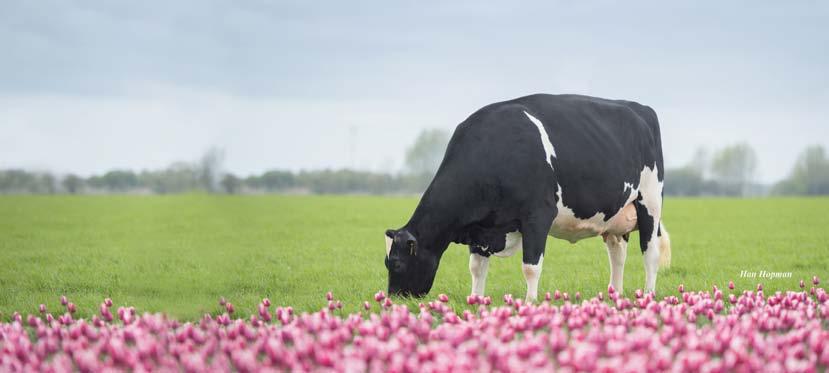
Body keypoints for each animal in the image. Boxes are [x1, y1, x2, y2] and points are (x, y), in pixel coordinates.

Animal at [384, 94, 668, 300]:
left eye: (396, 264)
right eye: (387, 263)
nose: (394, 299)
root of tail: (640, 108)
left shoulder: (537, 215)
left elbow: (531, 267)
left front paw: (531, 302)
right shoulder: (480, 227)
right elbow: (476, 267)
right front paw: (476, 299)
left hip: (650, 203)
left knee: (650, 253)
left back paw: (648, 294)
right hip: (616, 217)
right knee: (617, 253)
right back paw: (614, 294)